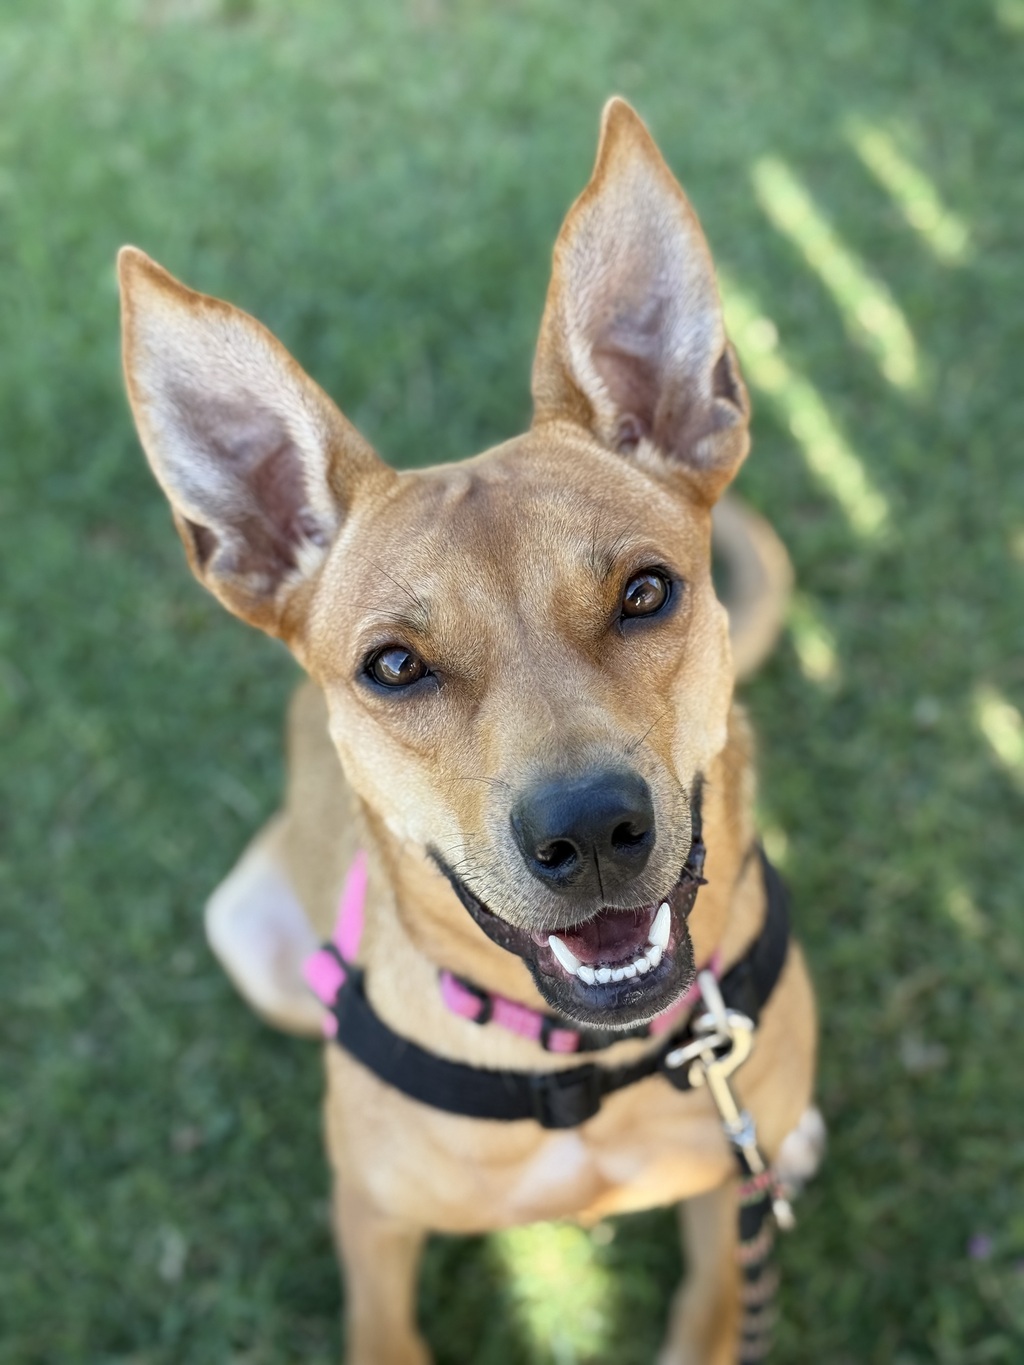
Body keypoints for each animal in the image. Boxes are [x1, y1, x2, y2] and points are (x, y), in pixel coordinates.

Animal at [119, 98, 822, 1365]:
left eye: (645, 592)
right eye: (394, 667)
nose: (590, 834)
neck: (571, 1068)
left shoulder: (714, 1212)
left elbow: (713, 1308)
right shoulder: (371, 1223)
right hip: (246, 935)